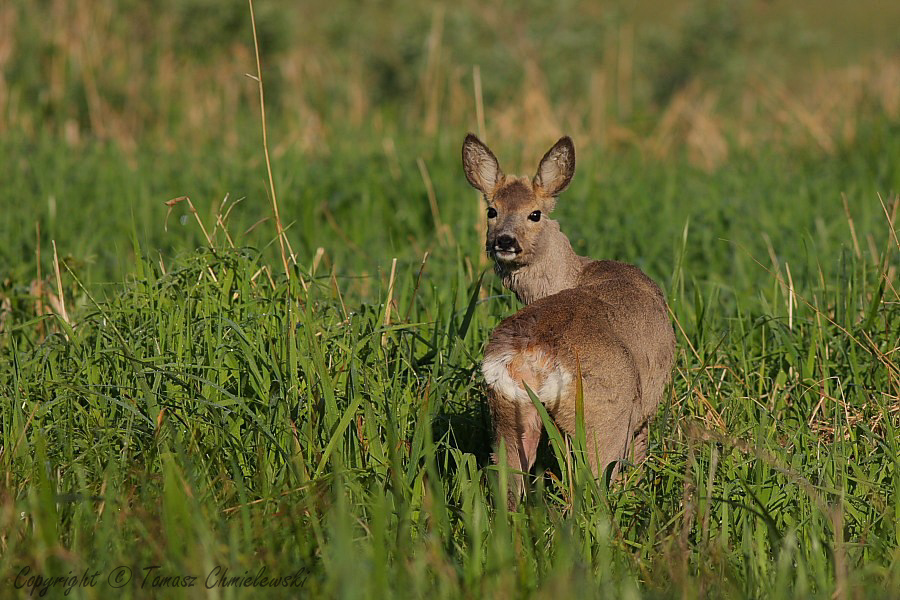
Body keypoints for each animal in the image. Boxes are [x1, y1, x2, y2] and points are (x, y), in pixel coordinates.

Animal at [460, 134, 672, 508]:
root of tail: (533, 355)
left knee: (508, 484)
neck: (574, 272)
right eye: (492, 210)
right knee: (593, 486)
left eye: (535, 213)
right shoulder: (644, 406)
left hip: (507, 412)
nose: (504, 241)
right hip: (602, 416)